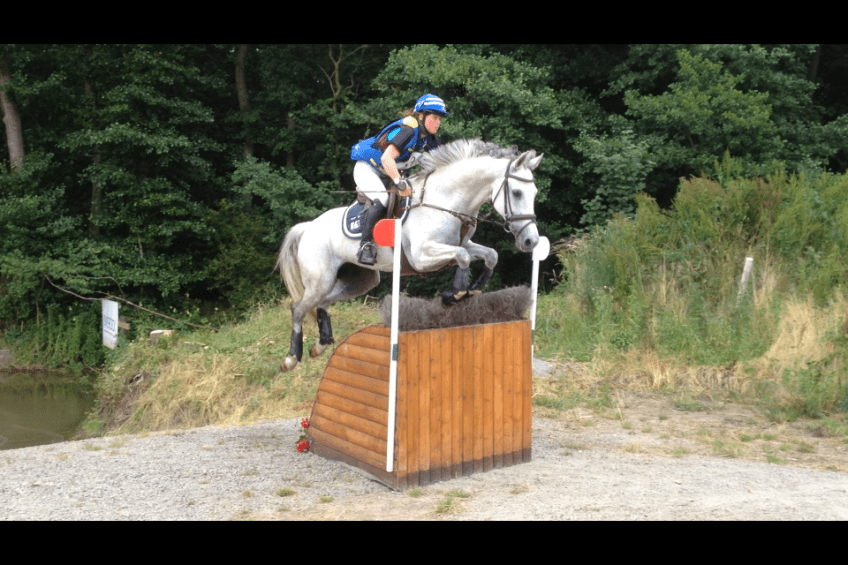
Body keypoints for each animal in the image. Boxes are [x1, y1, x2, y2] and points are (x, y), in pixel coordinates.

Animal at [274, 138, 543, 372]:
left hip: (361, 281)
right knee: (298, 308)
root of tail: (308, 226)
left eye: (535, 193)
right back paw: (291, 358)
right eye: (517, 193)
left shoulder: (463, 242)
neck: (446, 200)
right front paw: (453, 294)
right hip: (320, 279)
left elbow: (490, 255)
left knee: (323, 302)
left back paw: (321, 345)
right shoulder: (421, 257)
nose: (531, 241)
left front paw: (474, 288)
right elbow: (463, 256)